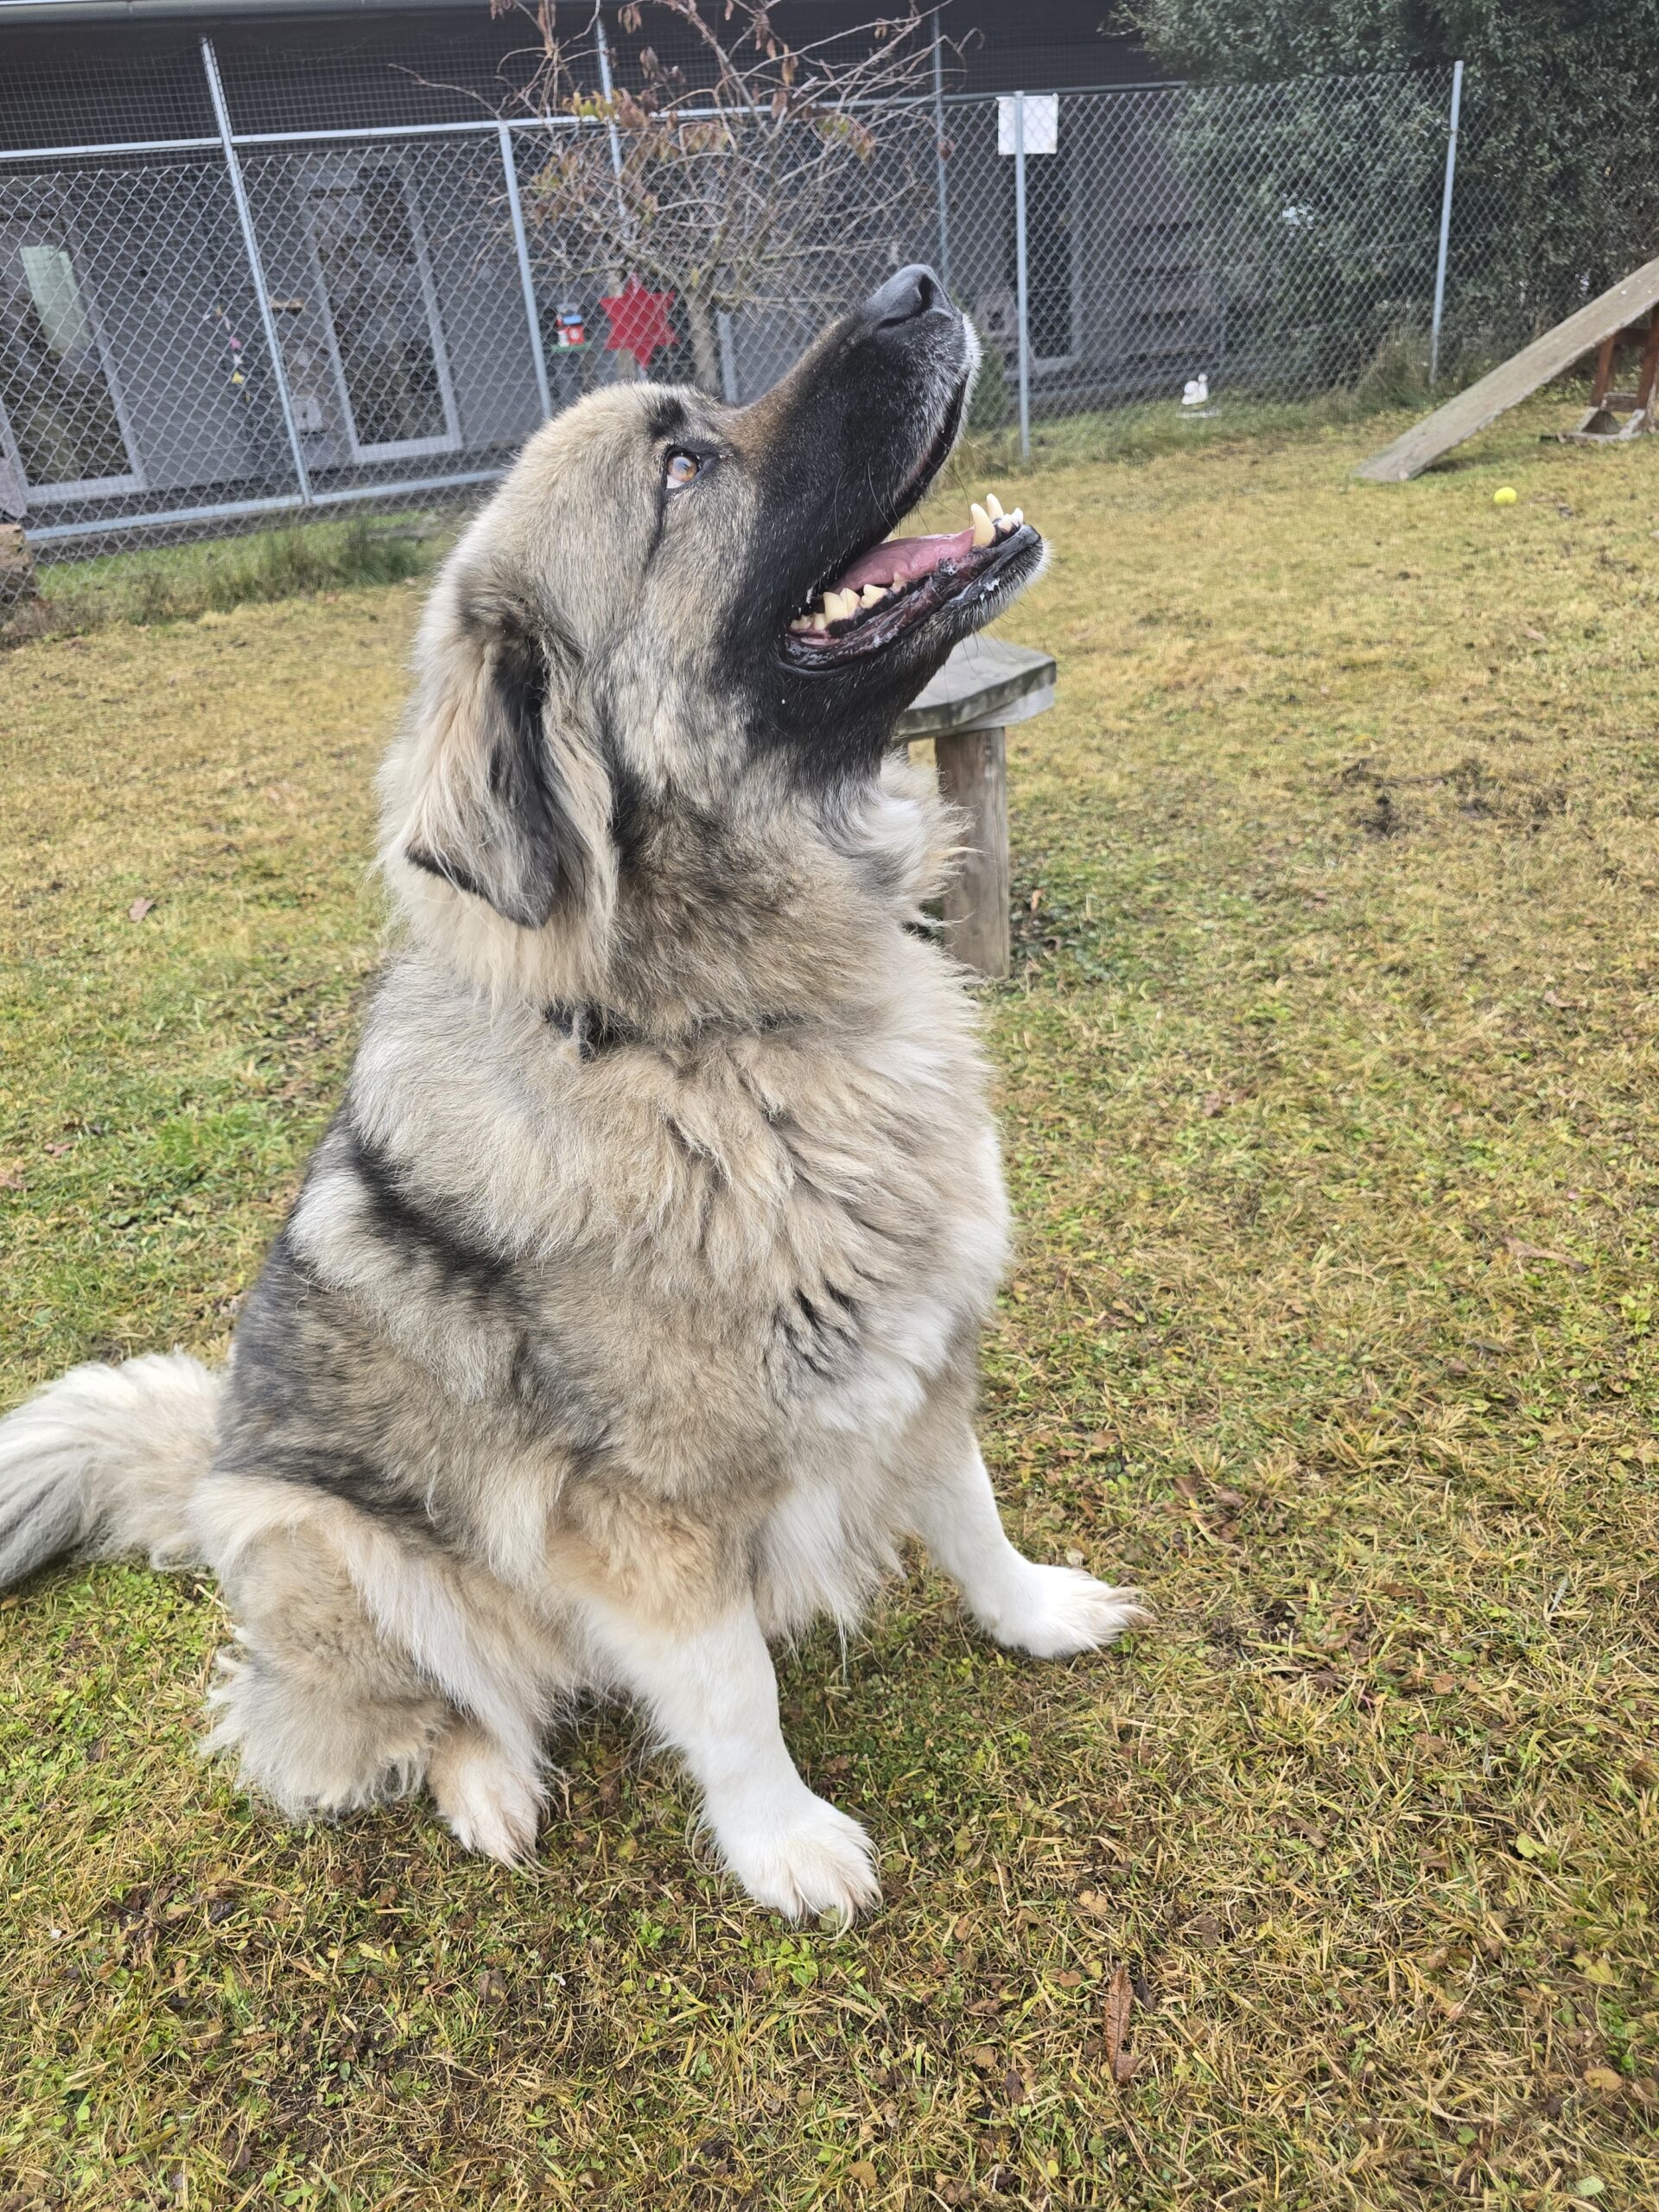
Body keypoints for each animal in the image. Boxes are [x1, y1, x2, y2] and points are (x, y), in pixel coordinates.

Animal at [0, 267, 1141, 1921]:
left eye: (701, 420)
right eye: (682, 470)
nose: (915, 287)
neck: (719, 1037)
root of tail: (211, 1454)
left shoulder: (917, 1363)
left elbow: (971, 1513)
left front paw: (1036, 1614)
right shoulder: (645, 1520)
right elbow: (732, 1690)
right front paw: (783, 1843)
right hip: (340, 1553)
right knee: (408, 1715)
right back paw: (489, 1790)